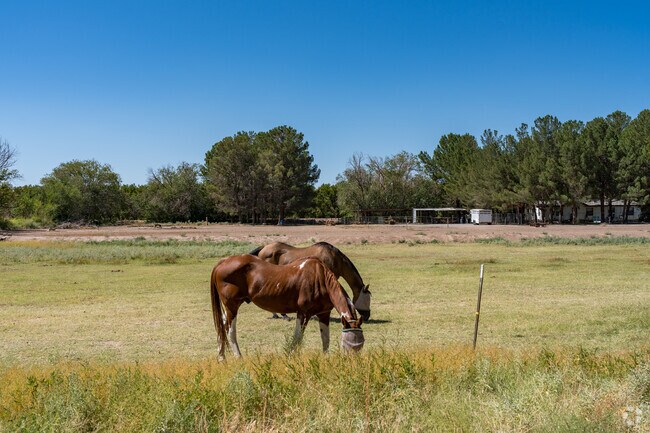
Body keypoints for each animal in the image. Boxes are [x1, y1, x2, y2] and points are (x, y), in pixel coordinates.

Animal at [210, 254, 364, 360]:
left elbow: (325, 339)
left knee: (221, 326)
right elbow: (297, 337)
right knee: (230, 330)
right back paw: (238, 357)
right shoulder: (303, 313)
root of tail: (223, 262)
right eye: (346, 345)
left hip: (229, 308)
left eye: (360, 345)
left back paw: (221, 357)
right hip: (232, 306)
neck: (320, 278)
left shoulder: (324, 314)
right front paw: (291, 357)